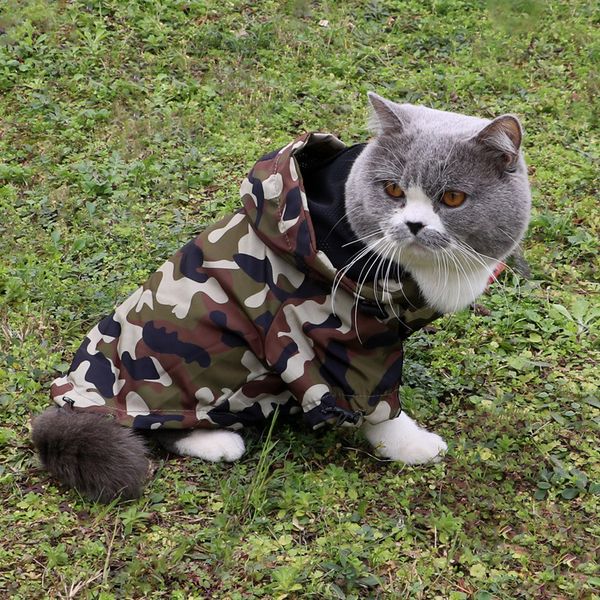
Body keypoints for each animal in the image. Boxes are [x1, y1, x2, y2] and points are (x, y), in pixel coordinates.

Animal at [30, 92, 532, 502]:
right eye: (393, 190)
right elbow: (379, 405)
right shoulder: (349, 341)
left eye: (453, 198)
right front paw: (411, 444)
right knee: (159, 424)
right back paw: (216, 440)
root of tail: (75, 396)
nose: (413, 224)